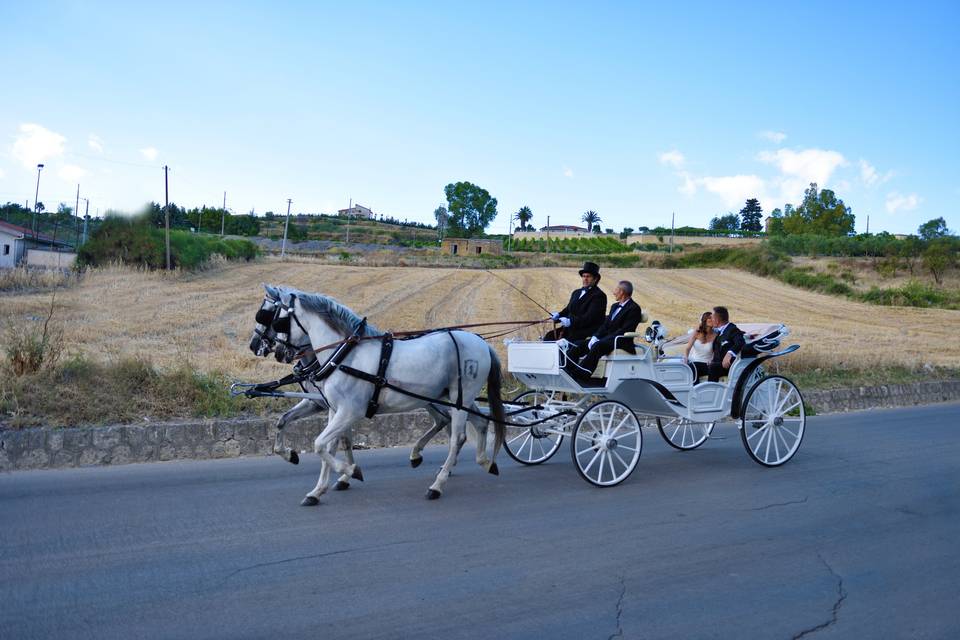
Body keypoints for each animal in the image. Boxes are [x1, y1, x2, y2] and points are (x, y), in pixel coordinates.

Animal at [248, 286, 506, 504]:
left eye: (271, 317)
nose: (255, 345)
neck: (343, 355)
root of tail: (481, 342)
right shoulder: (333, 408)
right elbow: (327, 445)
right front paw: (318, 490)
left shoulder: (350, 411)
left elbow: (320, 444)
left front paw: (350, 471)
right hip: (455, 398)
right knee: (479, 423)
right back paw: (483, 461)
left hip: (459, 398)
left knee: (458, 437)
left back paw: (437, 484)